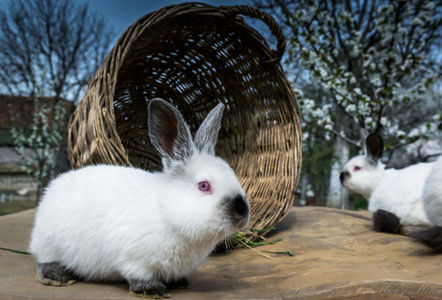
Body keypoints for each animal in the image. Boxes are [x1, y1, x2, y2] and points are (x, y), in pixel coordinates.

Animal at [28, 98, 249, 298]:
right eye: (204, 186)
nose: (243, 212)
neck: (167, 212)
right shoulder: (133, 258)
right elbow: (138, 274)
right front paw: (151, 290)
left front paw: (179, 282)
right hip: (49, 244)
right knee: (42, 262)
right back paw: (59, 277)